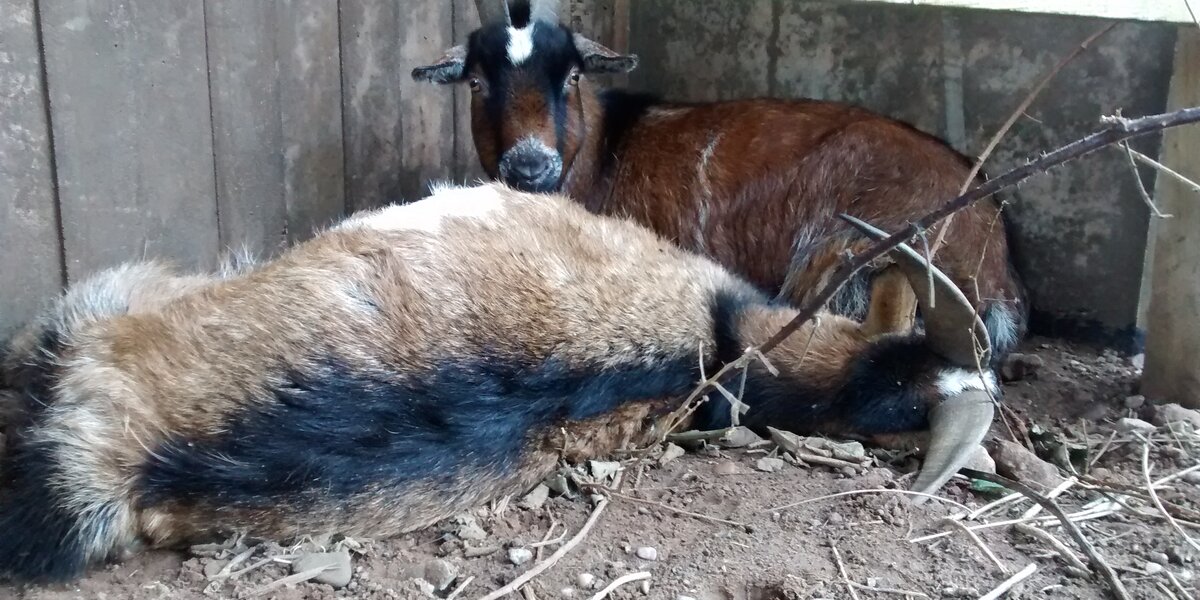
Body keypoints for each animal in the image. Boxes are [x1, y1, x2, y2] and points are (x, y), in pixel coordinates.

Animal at [415, 0, 1032, 357]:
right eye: (476, 84)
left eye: (570, 76)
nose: (529, 166)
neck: (607, 145)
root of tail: (997, 262)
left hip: (855, 245)